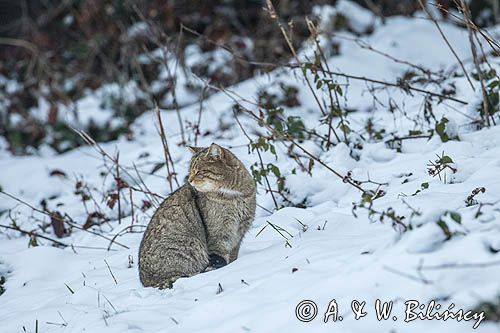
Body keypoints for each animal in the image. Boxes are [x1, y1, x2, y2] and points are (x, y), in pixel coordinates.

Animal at [139, 143, 256, 288]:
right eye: (190, 171)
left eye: (199, 171)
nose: (189, 180)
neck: (234, 195)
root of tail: (146, 282)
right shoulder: (219, 234)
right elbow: (220, 257)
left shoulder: (239, 233)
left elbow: (233, 256)